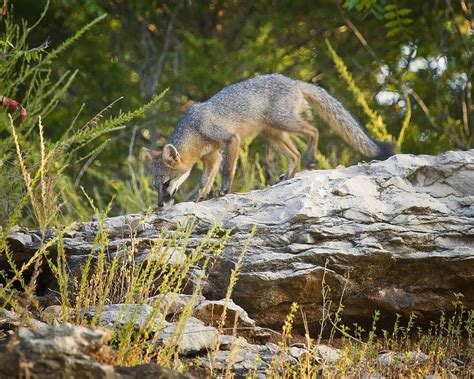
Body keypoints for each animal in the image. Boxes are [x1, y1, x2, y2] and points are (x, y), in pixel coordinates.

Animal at [146, 74, 394, 208]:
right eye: (156, 187)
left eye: (166, 184)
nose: (159, 205)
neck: (194, 127)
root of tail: (294, 81)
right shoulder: (212, 155)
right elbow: (203, 181)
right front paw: (201, 198)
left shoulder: (230, 140)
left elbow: (227, 170)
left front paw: (223, 191)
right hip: (272, 133)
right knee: (294, 153)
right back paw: (290, 175)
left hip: (283, 123)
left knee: (313, 130)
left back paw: (310, 159)